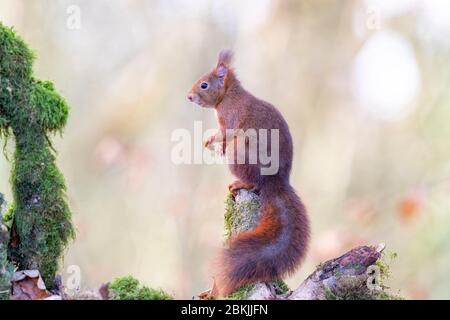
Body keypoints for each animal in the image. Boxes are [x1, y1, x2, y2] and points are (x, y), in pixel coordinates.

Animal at [186, 48, 310, 296]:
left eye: (204, 85)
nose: (189, 96)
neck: (227, 95)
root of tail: (276, 182)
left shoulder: (230, 119)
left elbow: (225, 133)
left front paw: (210, 142)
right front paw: (215, 146)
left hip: (240, 153)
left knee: (254, 183)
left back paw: (239, 184)